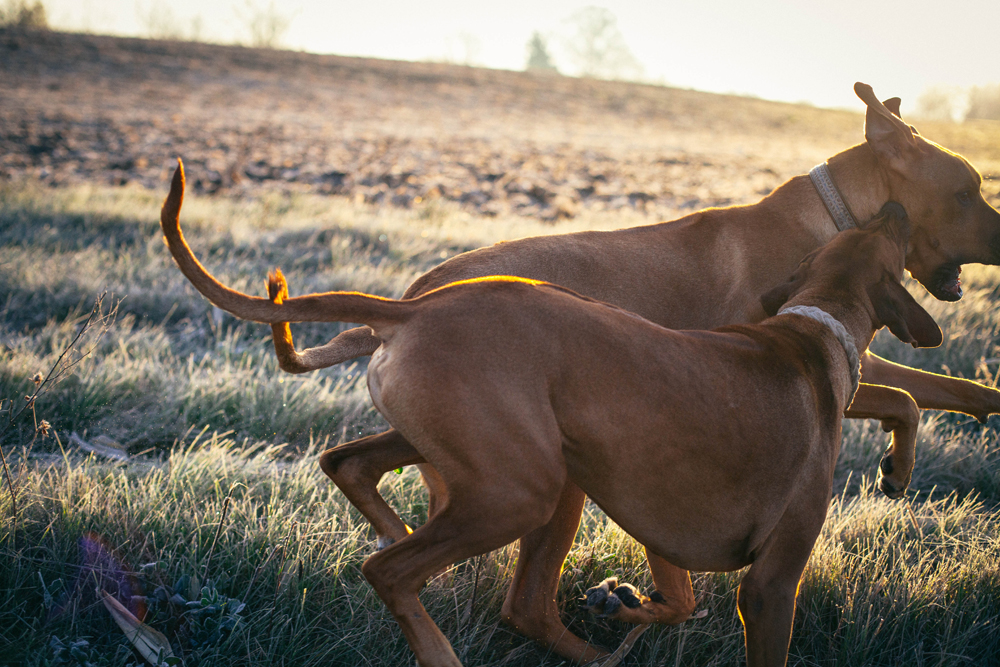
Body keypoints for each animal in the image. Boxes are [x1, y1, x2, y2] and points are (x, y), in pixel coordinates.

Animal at [158, 82, 1000, 664]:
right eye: (968, 191)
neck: (830, 219)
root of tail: (412, 298)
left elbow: (930, 390)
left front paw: (959, 419)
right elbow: (900, 395)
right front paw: (898, 464)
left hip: (462, 447)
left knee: (357, 466)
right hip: (538, 478)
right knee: (511, 594)